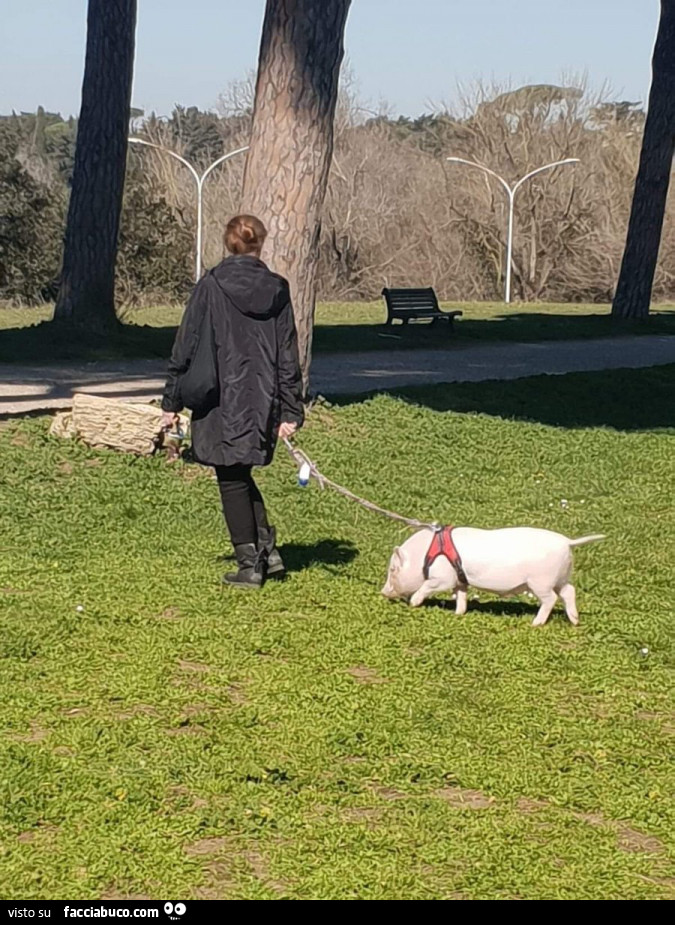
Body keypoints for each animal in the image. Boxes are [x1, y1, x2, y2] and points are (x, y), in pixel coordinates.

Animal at [380, 528, 608, 628]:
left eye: (393, 569)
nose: (383, 592)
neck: (426, 555)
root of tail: (567, 542)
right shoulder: (459, 579)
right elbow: (461, 595)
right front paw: (458, 614)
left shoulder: (442, 577)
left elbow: (428, 586)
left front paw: (413, 603)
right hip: (561, 576)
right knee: (569, 591)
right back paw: (575, 621)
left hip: (541, 581)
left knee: (551, 599)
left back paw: (535, 623)